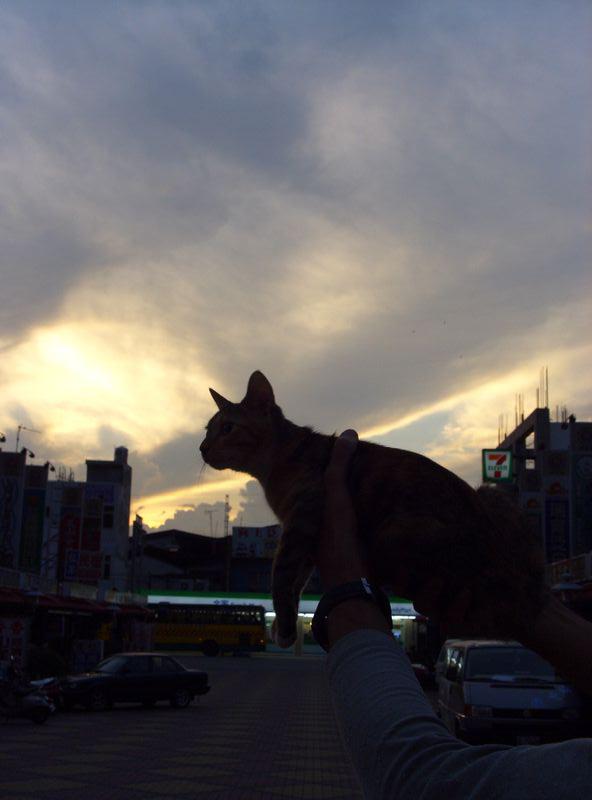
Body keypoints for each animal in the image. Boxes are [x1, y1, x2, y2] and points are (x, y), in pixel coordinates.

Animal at [200, 370, 547, 647]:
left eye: (227, 428)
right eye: (207, 430)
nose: (201, 448)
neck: (276, 466)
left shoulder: (302, 518)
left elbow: (282, 575)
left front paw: (284, 626)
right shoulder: (303, 532)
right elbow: (297, 578)